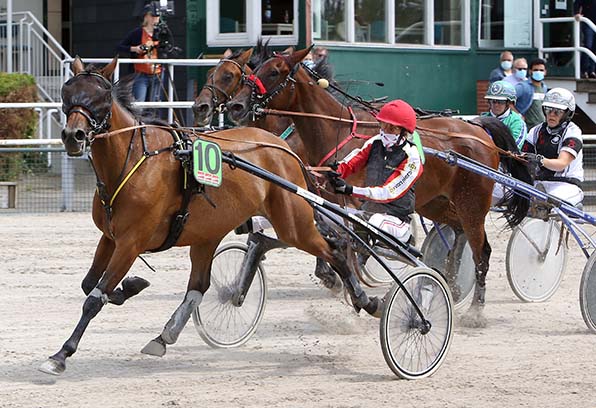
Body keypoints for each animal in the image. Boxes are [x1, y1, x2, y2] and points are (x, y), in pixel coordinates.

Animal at [39, 55, 382, 376]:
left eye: (100, 96)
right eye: (68, 92)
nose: (73, 135)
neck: (134, 159)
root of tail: (283, 148)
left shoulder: (130, 243)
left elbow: (94, 298)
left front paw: (60, 355)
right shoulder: (109, 238)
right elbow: (89, 284)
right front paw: (131, 286)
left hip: (292, 224)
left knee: (334, 248)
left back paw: (366, 300)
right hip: (208, 233)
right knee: (199, 286)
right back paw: (164, 336)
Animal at [227, 47, 532, 328]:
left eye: (274, 72)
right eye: (254, 69)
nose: (236, 107)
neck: (334, 130)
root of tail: (480, 129)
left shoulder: (355, 204)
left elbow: (355, 246)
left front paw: (353, 290)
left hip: (473, 203)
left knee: (482, 251)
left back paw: (475, 310)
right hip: (436, 203)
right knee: (457, 232)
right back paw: (451, 281)